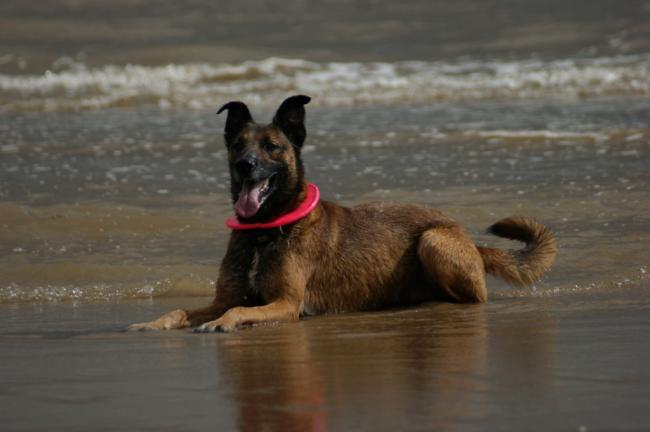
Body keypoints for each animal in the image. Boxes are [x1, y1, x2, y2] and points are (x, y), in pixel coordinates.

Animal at [129, 93, 556, 332]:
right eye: (237, 145)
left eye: (271, 147)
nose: (245, 166)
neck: (264, 231)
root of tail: (469, 239)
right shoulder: (224, 297)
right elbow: (184, 309)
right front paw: (151, 322)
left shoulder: (286, 305)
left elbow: (235, 310)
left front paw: (220, 325)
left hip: (433, 240)